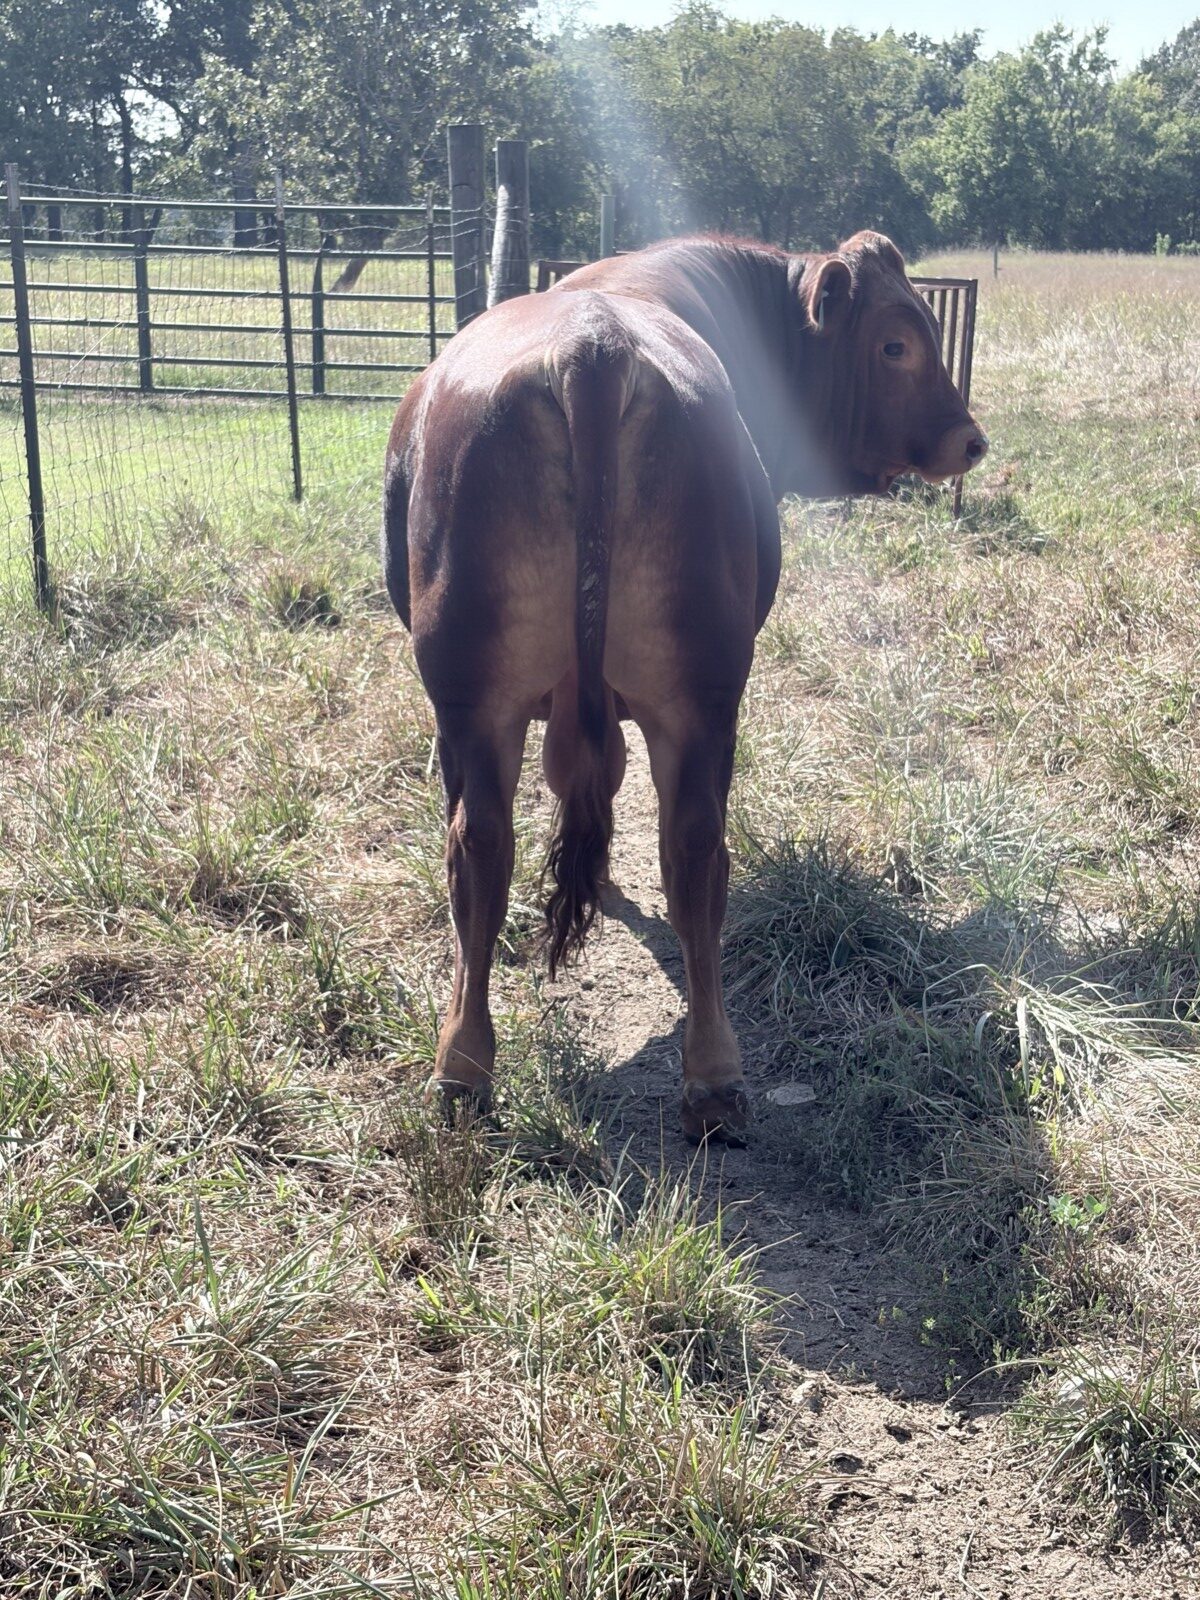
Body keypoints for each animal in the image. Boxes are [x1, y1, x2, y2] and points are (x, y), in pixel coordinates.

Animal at [382, 231, 987, 1143]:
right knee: (656, 844)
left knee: (517, 844)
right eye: (895, 343)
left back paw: (486, 1066)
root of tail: (591, 347)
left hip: (503, 703)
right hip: (659, 697)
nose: (970, 439)